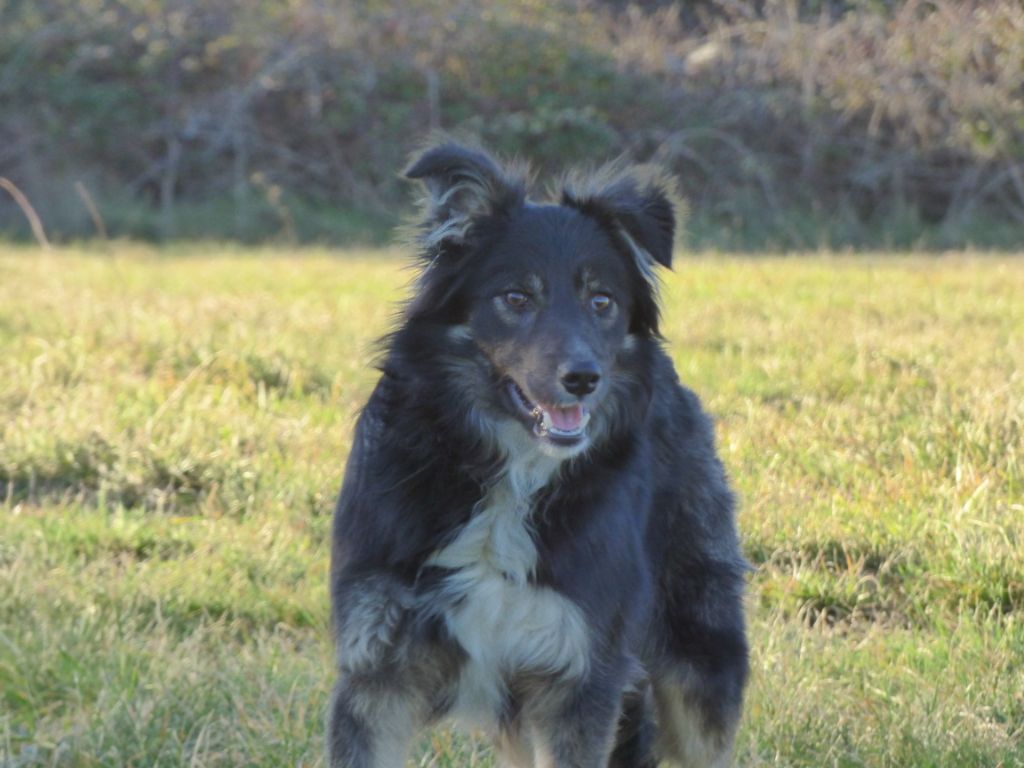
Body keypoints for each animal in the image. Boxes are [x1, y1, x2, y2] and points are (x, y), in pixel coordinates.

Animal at [329, 141, 753, 765]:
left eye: (601, 301)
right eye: (516, 297)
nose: (584, 379)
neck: (506, 477)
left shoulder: (578, 673)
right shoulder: (377, 668)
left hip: (699, 652)